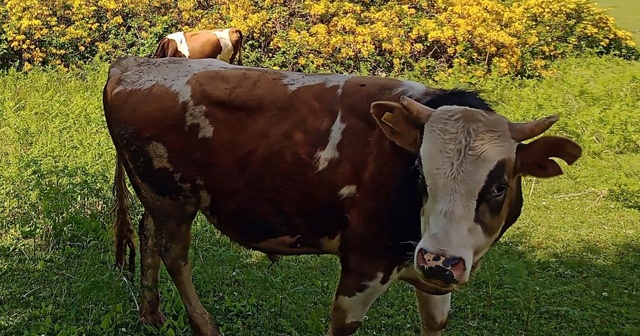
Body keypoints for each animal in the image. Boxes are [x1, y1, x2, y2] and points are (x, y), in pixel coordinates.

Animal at [105, 56, 584, 334]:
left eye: (499, 186)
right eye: (420, 175)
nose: (438, 260)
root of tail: (129, 65)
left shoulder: (435, 278)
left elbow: (436, 321)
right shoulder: (363, 267)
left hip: (154, 194)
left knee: (148, 235)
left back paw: (151, 312)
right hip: (172, 197)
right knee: (175, 255)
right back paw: (204, 325)